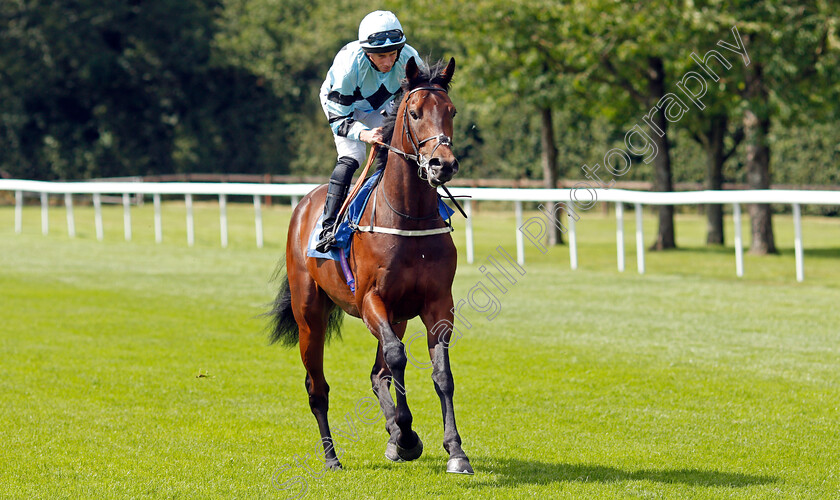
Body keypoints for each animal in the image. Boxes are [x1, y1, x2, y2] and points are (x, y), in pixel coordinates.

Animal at [272, 56, 476, 474]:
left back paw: (394, 437)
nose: (442, 164)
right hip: (309, 315)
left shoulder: (437, 304)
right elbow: (398, 357)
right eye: (414, 113)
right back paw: (333, 457)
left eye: (451, 111)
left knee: (377, 373)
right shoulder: (371, 301)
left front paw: (454, 450)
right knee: (317, 387)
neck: (408, 218)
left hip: (396, 316)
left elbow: (441, 374)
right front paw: (408, 434)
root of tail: (303, 205)